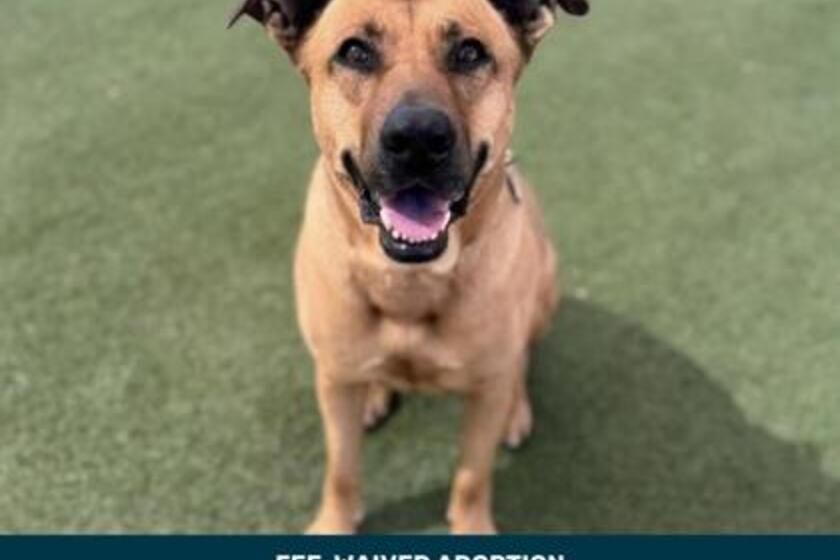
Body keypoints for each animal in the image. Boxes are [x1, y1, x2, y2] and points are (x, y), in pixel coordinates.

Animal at [228, 0, 588, 533]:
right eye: (355, 51)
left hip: (546, 289)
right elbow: (341, 468)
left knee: (520, 360)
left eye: (470, 52)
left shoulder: (485, 392)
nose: (418, 138)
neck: (408, 282)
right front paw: (334, 523)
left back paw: (516, 409)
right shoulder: (333, 378)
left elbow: (473, 475)